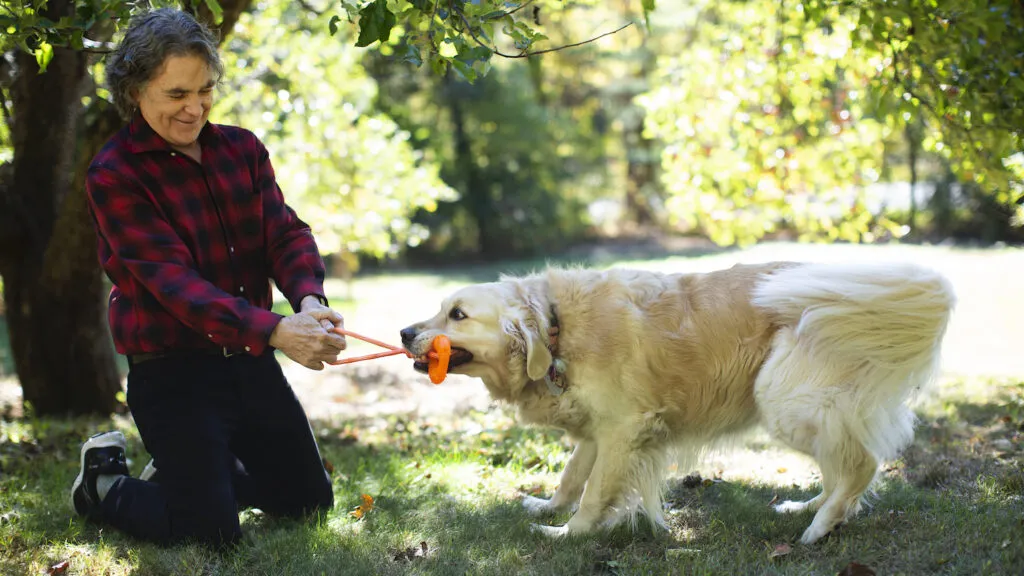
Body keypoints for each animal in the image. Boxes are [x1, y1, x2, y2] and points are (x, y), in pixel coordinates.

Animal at [397, 261, 950, 541]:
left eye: (458, 314)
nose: (403, 332)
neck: (557, 329)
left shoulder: (623, 429)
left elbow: (594, 493)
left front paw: (569, 534)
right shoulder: (600, 430)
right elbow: (572, 476)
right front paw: (547, 507)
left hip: (787, 401)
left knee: (861, 464)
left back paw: (818, 527)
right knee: (843, 467)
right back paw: (811, 508)